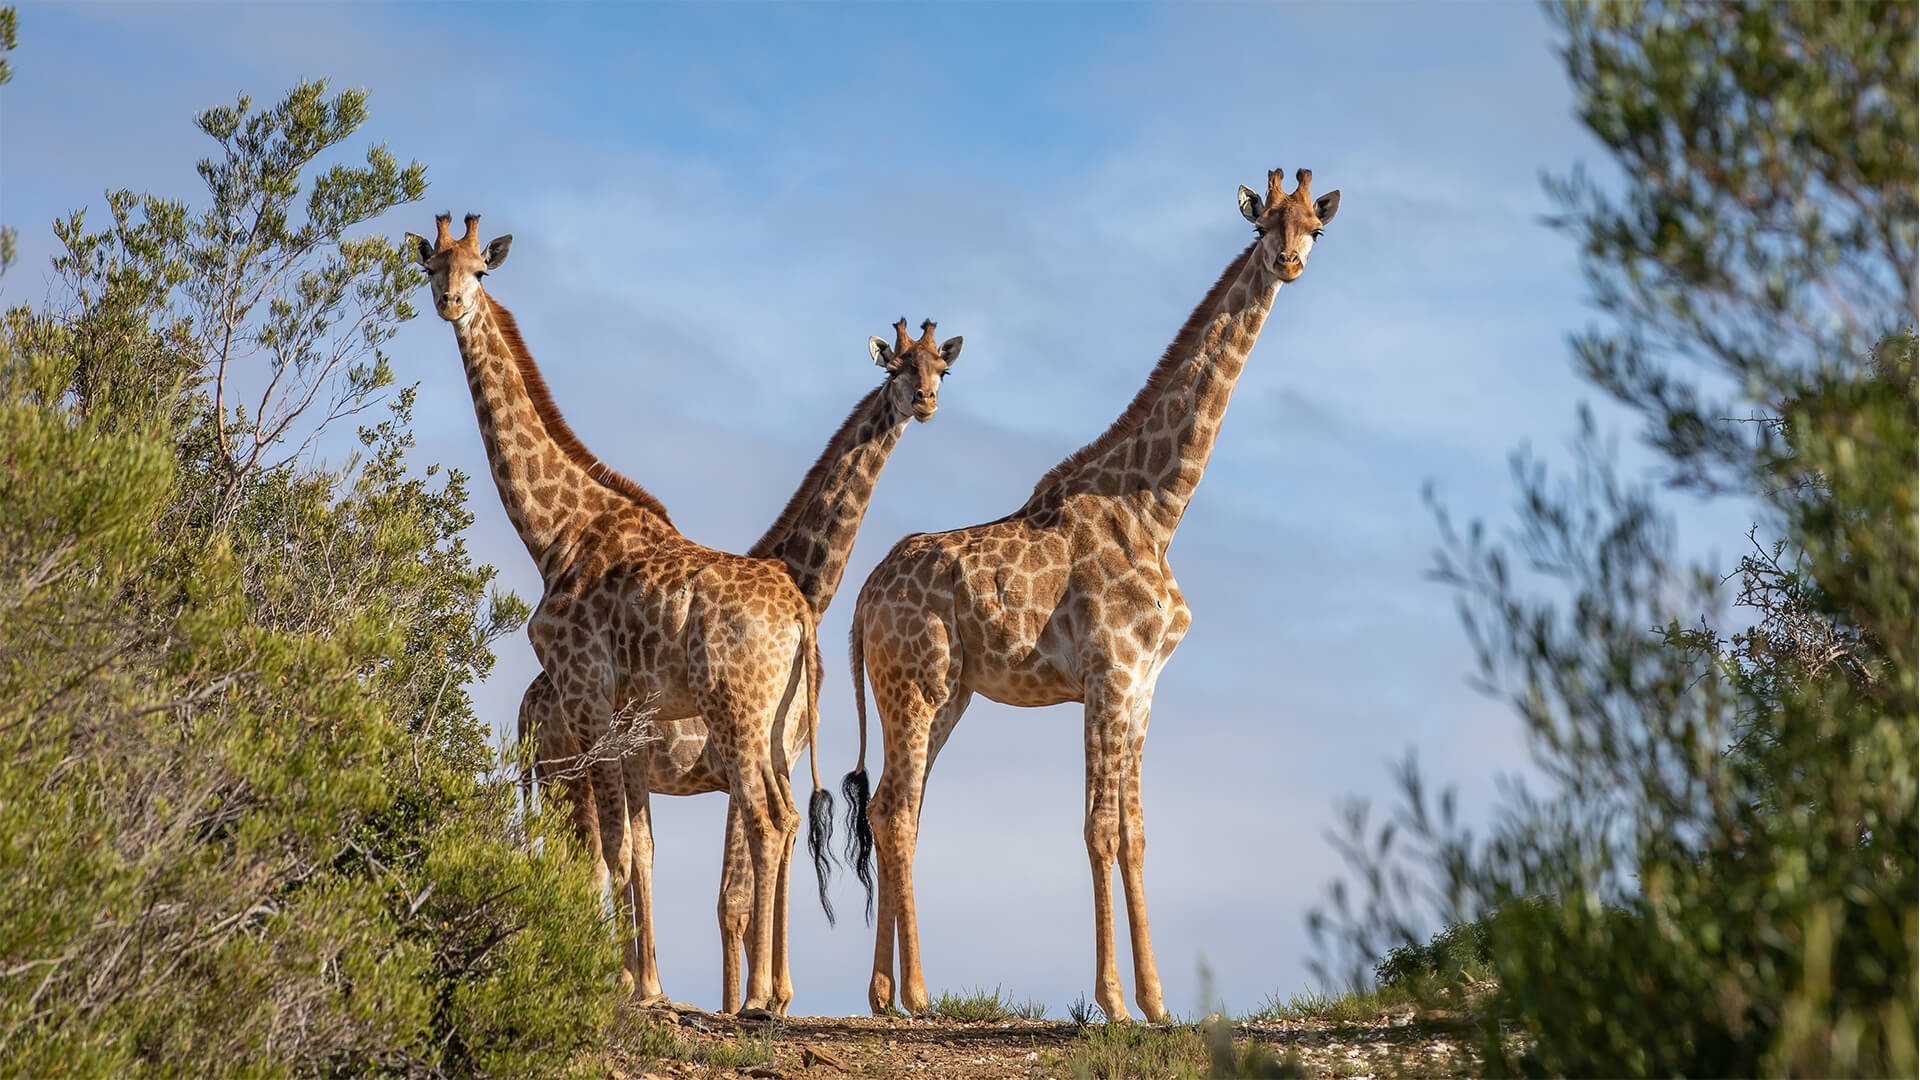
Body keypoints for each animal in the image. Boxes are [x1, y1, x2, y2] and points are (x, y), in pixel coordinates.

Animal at [405, 212, 825, 1006]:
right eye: (431, 268)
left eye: (481, 270)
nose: (450, 303)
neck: (553, 533)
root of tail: (801, 617)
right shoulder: (627, 717)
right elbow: (640, 850)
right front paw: (643, 987)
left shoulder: (586, 692)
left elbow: (608, 852)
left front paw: (606, 986)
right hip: (774, 720)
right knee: (783, 818)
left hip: (737, 706)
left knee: (765, 819)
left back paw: (759, 999)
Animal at [518, 317, 960, 1006]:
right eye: (898, 368)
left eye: (942, 367)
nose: (926, 402)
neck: (802, 584)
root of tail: (524, 706)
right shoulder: (734, 761)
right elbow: (732, 900)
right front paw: (751, 1000)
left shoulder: (774, 758)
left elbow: (753, 881)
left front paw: (771, 995)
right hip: (567, 771)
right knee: (587, 864)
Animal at [833, 168, 1344, 1014]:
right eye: (1262, 222)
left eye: (1315, 225)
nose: (1291, 261)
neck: (1157, 507)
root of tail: (861, 603)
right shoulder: (1107, 674)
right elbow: (1098, 829)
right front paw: (1111, 999)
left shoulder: (1142, 685)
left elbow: (1135, 832)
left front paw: (1159, 1002)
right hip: (916, 683)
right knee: (899, 809)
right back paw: (920, 994)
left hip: (946, 694)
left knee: (888, 805)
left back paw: (881, 995)